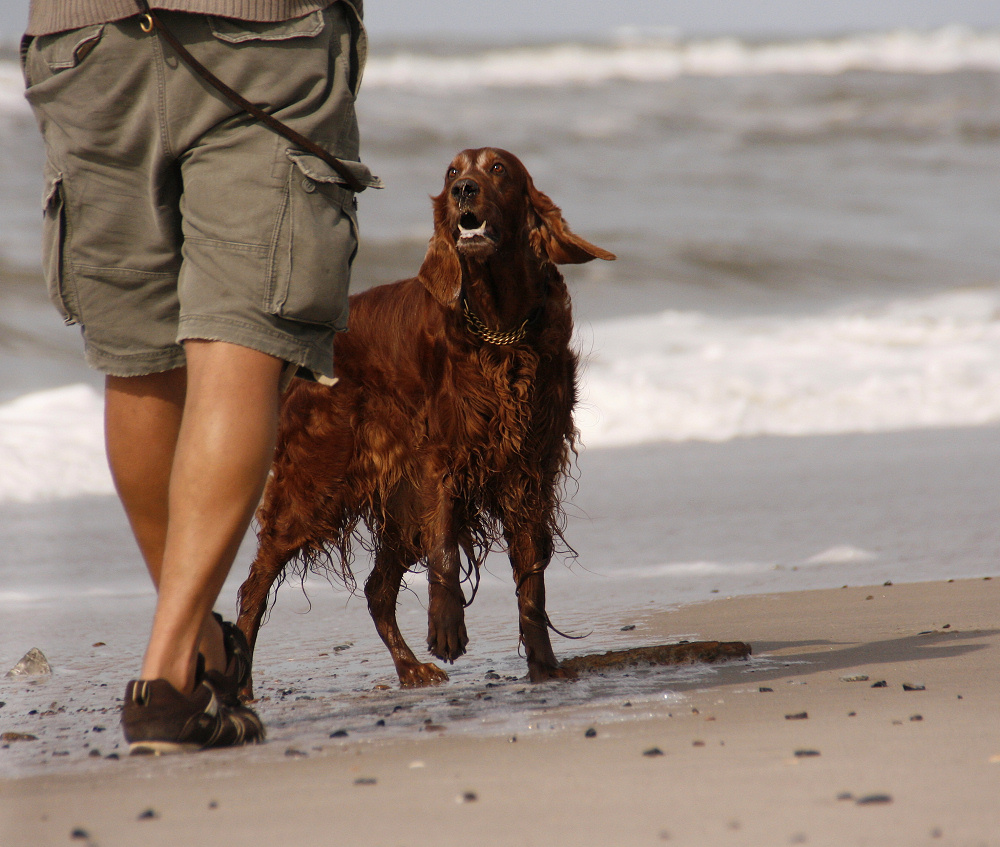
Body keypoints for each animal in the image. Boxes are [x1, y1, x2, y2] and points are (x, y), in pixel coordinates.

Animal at [238, 147, 612, 696]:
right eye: (452, 171)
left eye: (497, 169)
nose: (464, 191)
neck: (501, 328)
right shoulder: (443, 461)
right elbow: (446, 554)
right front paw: (447, 628)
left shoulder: (527, 471)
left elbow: (531, 581)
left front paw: (543, 664)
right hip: (316, 486)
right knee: (256, 583)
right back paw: (239, 681)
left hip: (395, 501)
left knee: (376, 589)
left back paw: (409, 667)